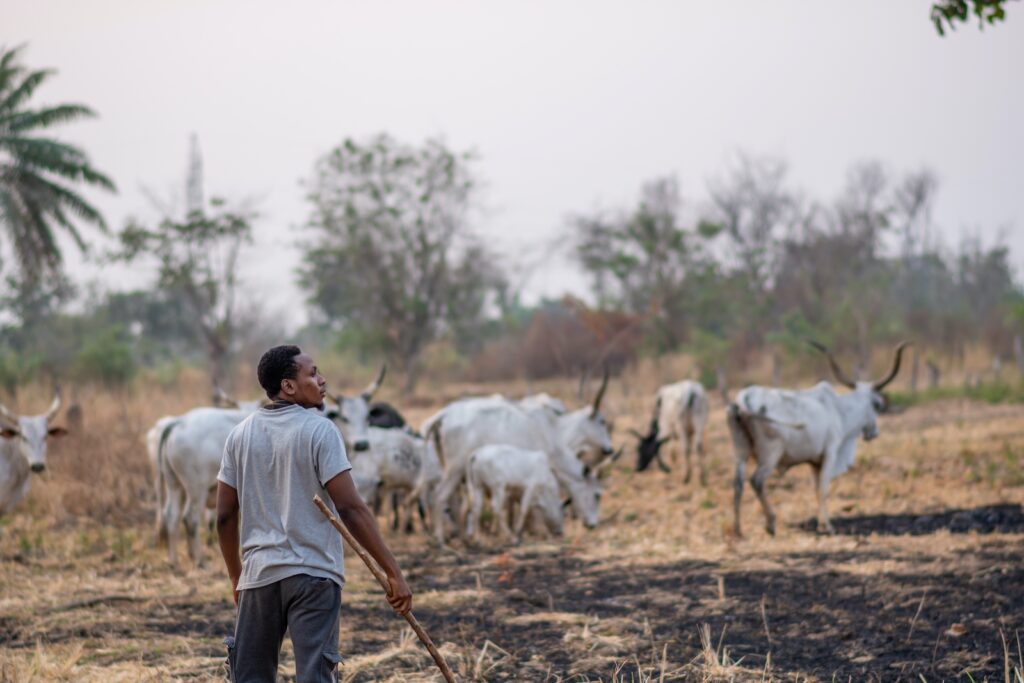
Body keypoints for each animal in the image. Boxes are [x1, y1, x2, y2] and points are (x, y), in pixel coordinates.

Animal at [729, 344, 913, 536]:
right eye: (878, 405)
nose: (874, 433)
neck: (839, 410)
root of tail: (743, 399)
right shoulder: (830, 454)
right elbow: (823, 489)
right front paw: (828, 526)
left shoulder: (814, 462)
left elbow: (816, 489)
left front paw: (821, 524)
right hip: (771, 453)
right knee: (756, 481)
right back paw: (770, 524)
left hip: (740, 452)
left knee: (738, 484)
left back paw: (737, 530)